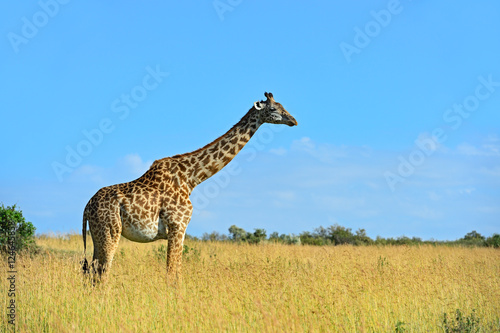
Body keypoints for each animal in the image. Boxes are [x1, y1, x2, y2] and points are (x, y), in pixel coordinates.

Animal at [82, 92, 298, 278]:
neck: (191, 178)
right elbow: (172, 272)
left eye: (282, 106)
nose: (293, 120)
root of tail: (86, 208)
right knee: (102, 271)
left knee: (90, 271)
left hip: (97, 235)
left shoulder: (181, 230)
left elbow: (176, 271)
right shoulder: (177, 226)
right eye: (273, 109)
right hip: (110, 231)